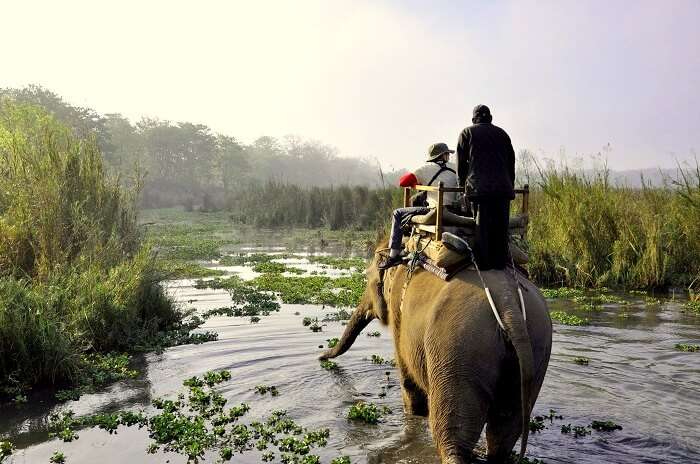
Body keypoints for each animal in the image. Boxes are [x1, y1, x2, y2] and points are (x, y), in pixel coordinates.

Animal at [318, 250, 552, 464]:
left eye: (370, 280)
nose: (320, 357)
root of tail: (509, 306)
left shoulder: (399, 318)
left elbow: (407, 378)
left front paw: (413, 414)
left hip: (457, 348)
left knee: (452, 436)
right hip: (535, 350)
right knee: (504, 433)